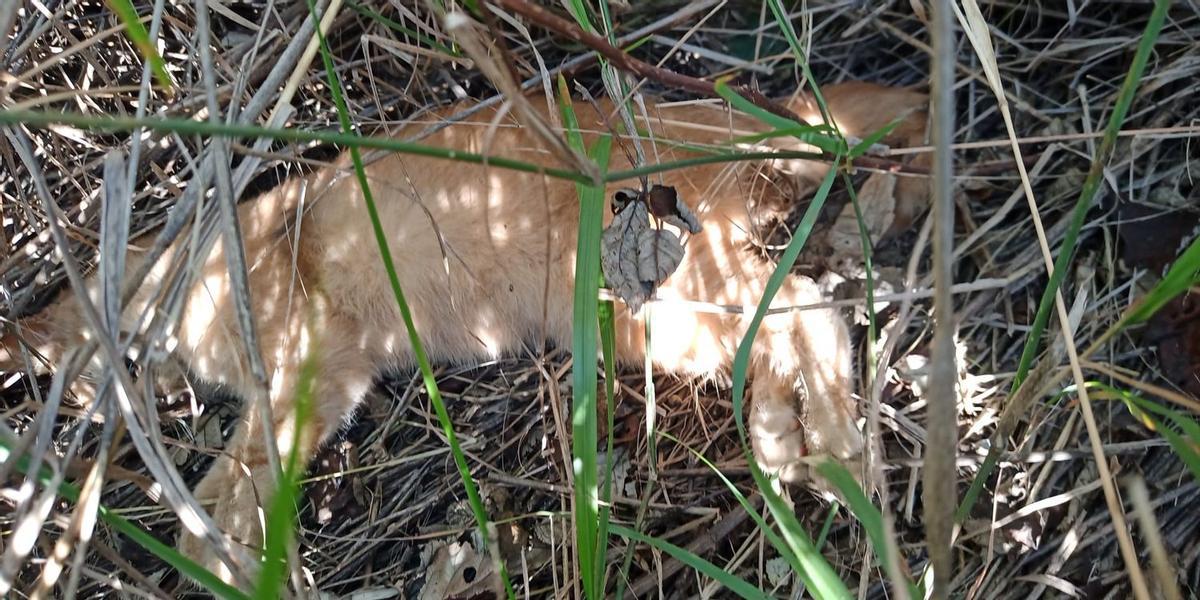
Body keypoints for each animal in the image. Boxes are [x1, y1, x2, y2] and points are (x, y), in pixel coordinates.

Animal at [0, 81, 926, 585]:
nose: (99, 401)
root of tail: (697, 112)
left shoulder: (299, 368)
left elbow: (228, 493)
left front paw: (239, 567)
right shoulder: (328, 379)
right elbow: (238, 485)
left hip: (669, 295)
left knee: (816, 313)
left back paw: (842, 455)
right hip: (664, 319)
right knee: (787, 324)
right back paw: (783, 443)